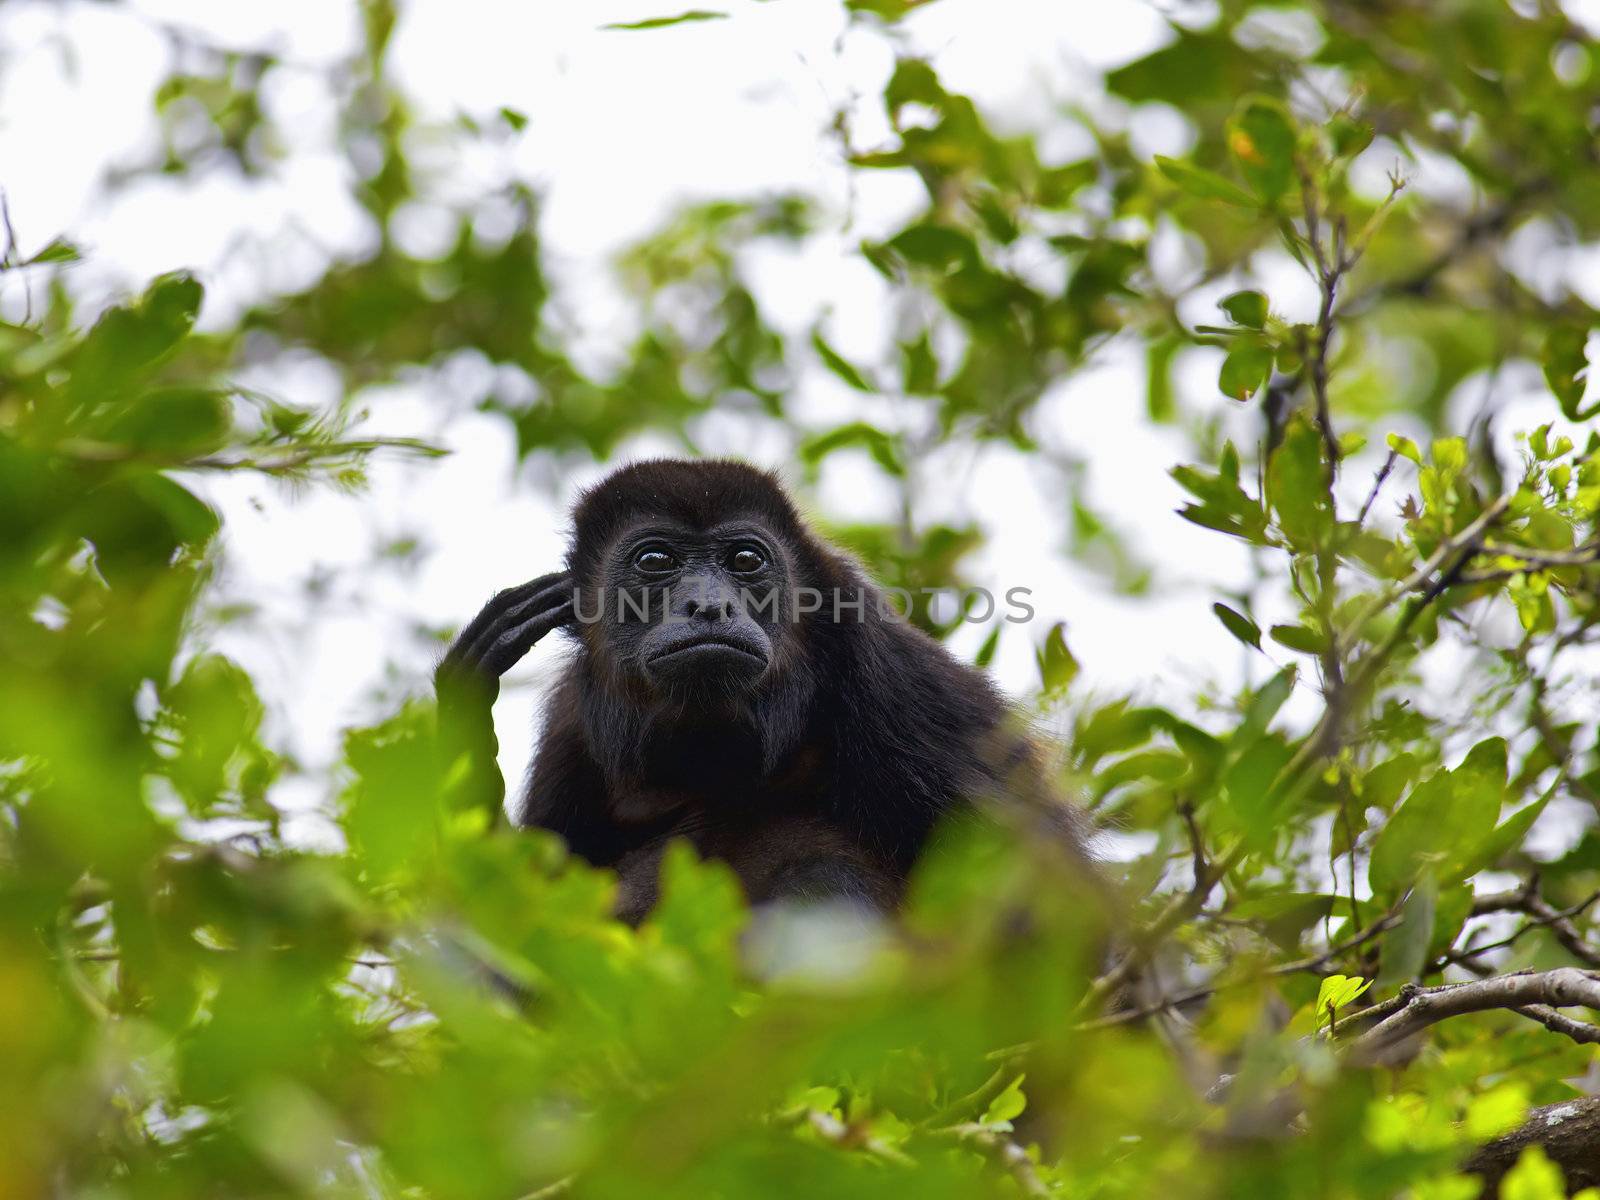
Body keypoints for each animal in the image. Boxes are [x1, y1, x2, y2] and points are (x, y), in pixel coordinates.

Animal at [432, 457, 1094, 921]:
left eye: (746, 560)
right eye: (654, 560)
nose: (709, 605)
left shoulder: (897, 677)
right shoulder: (572, 726)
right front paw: (463, 733)